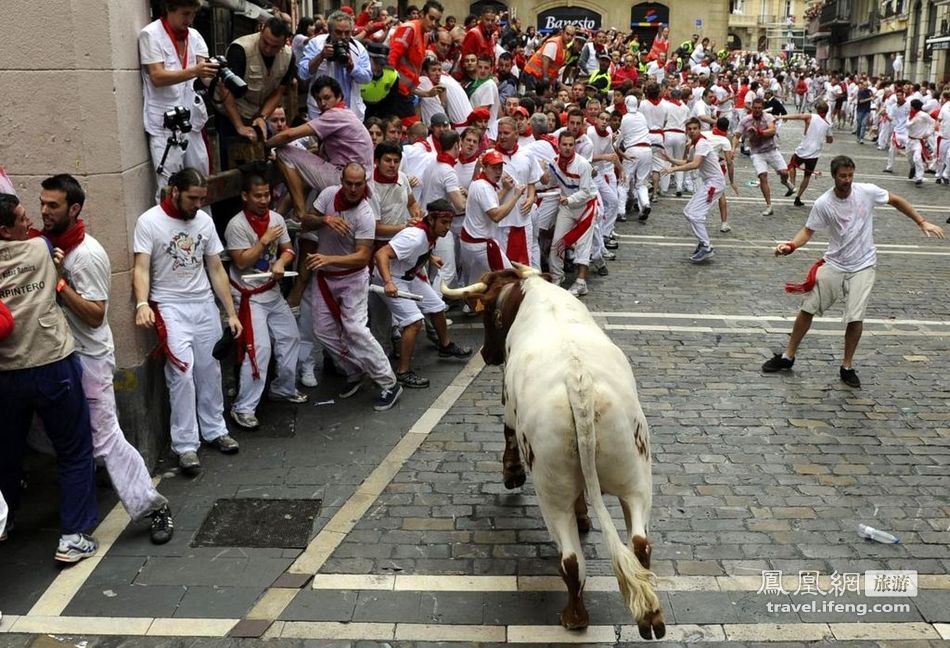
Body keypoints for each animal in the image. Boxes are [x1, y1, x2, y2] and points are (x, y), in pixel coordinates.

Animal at [442, 264, 664, 636]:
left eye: (488, 314)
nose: (487, 355)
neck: (532, 293)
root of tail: (580, 383)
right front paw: (584, 515)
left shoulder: (509, 403)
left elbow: (507, 432)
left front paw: (512, 474)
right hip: (635, 475)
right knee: (639, 542)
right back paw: (650, 617)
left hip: (551, 490)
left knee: (571, 561)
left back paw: (574, 617)